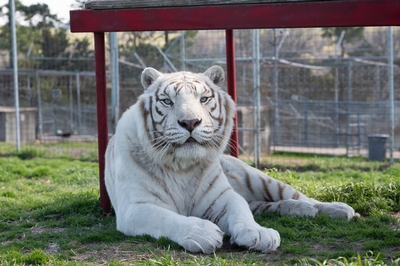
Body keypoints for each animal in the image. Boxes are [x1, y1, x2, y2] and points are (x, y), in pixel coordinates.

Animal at [104, 65, 358, 255]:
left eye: (204, 99)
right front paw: (202, 233)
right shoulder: (135, 207)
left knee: (297, 196)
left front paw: (259, 233)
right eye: (167, 101)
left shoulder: (222, 196)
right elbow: (167, 218)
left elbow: (241, 211)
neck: (182, 167)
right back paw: (303, 210)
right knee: (263, 204)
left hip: (260, 178)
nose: (190, 122)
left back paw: (335, 209)